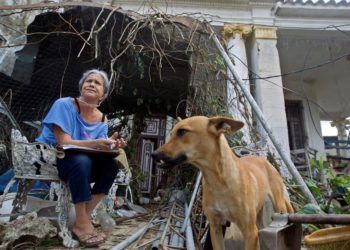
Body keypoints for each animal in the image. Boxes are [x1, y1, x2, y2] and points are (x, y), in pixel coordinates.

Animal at [152, 116, 292, 249]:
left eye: (182, 132)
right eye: (171, 133)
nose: (153, 154)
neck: (219, 181)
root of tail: (265, 160)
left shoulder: (250, 232)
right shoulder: (215, 227)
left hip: (278, 209)